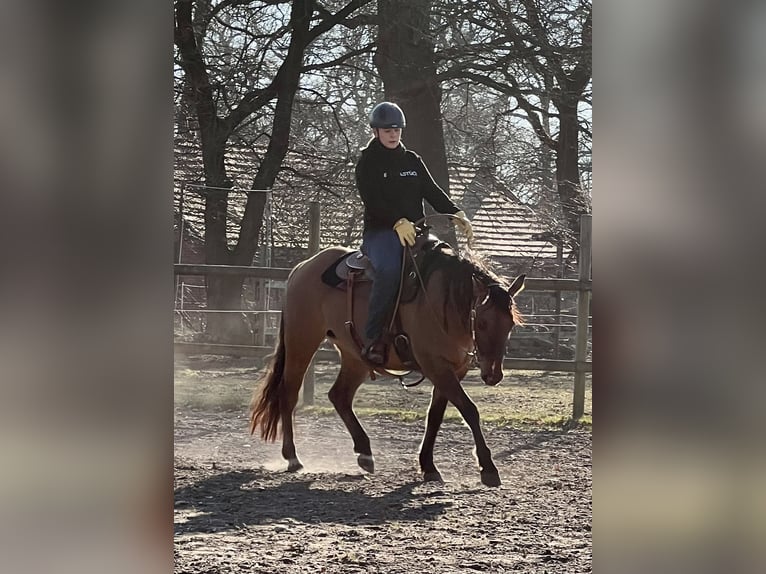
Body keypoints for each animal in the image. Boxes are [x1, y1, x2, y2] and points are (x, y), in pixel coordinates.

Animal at [249, 236, 524, 488]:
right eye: (482, 322)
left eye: (510, 324)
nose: (493, 375)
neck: (441, 299)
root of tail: (303, 267)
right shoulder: (436, 365)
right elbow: (469, 410)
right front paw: (488, 468)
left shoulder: (452, 370)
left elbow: (435, 416)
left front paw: (428, 466)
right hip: (301, 342)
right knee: (288, 394)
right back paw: (293, 457)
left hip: (354, 356)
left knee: (339, 395)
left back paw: (364, 453)